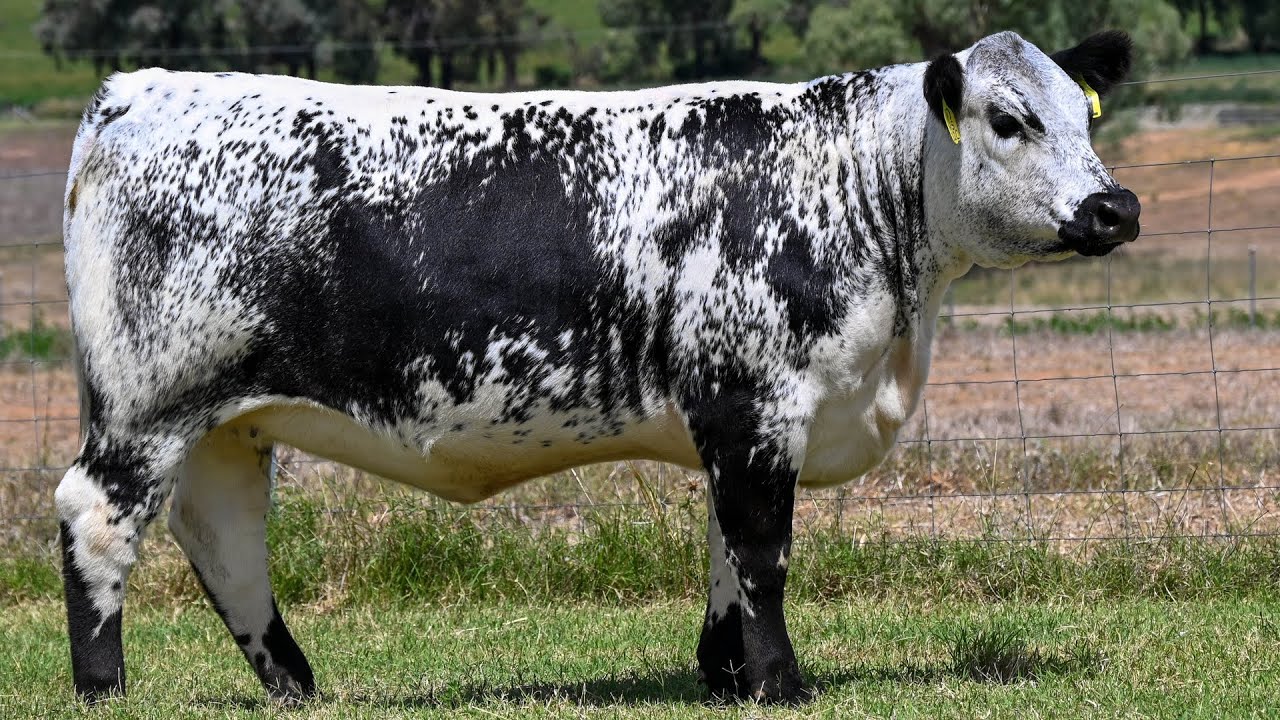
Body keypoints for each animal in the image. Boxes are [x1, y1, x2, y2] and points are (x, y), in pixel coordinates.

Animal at [56, 29, 1139, 704]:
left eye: (1085, 116)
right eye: (1008, 120)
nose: (1114, 207)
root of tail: (142, 89)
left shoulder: (743, 421)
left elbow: (725, 552)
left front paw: (724, 677)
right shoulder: (754, 403)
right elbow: (762, 551)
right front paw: (780, 684)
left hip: (227, 419)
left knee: (224, 537)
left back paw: (297, 685)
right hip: (145, 407)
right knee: (98, 517)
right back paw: (105, 688)